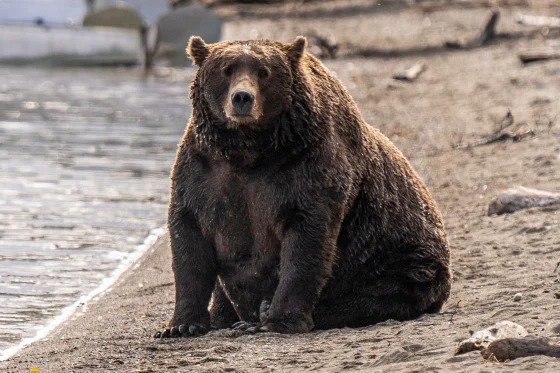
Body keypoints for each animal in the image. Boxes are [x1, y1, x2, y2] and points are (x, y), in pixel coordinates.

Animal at [155, 37, 452, 338]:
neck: (249, 150)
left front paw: (279, 320)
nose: (242, 98)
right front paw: (181, 325)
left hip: (399, 258)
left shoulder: (305, 168)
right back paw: (227, 317)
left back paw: (261, 316)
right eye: (226, 70)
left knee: (376, 293)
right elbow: (189, 242)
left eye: (264, 72)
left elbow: (306, 244)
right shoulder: (204, 172)